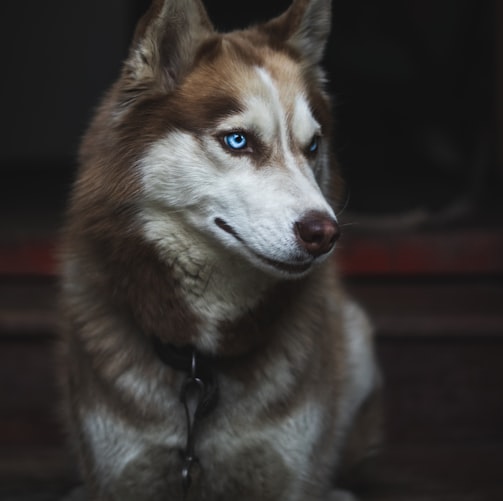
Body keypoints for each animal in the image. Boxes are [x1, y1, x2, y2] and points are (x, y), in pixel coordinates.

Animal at [59, 1, 382, 498]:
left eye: (312, 146)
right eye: (238, 140)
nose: (325, 232)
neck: (200, 359)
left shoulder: (287, 471)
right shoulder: (122, 473)